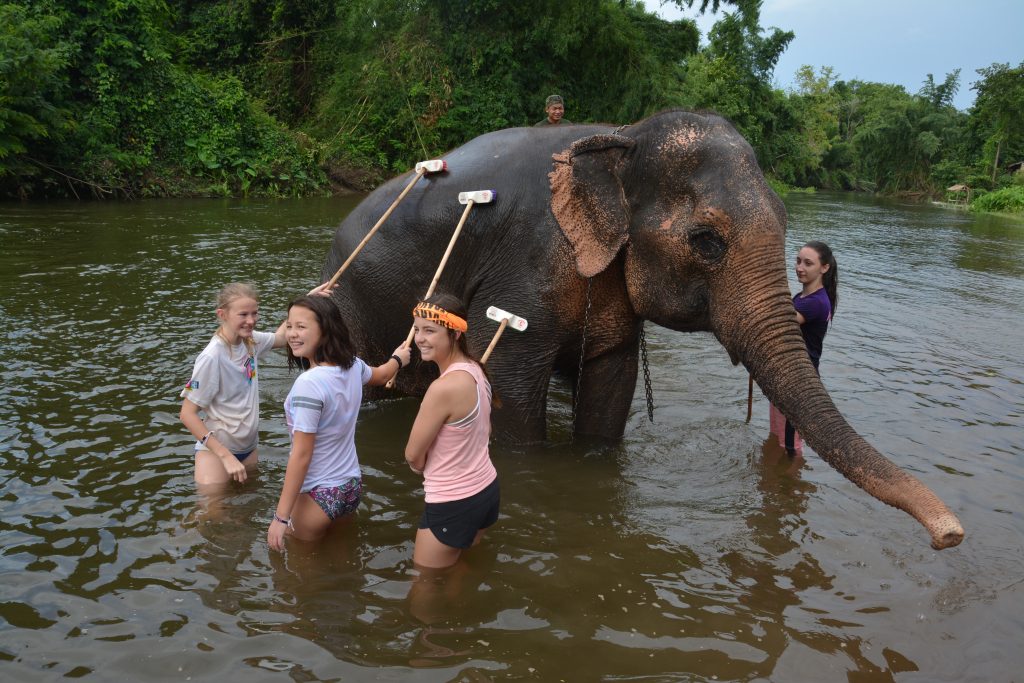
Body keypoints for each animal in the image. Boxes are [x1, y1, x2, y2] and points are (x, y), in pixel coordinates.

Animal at [323, 109, 962, 552]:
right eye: (706, 241)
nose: (950, 535)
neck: (620, 137)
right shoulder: (522, 267)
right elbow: (509, 383)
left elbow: (612, 382)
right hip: (354, 304)